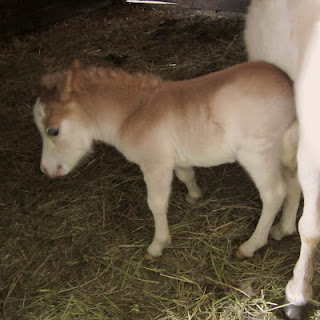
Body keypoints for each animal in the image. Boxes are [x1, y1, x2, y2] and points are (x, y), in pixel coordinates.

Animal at [33, 62, 298, 260]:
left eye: (53, 130)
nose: (46, 170)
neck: (132, 114)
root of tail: (288, 88)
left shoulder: (155, 164)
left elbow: (157, 203)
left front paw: (157, 245)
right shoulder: (174, 158)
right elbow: (186, 174)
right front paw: (194, 196)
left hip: (258, 155)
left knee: (275, 193)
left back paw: (250, 246)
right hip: (285, 149)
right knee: (295, 183)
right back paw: (283, 229)